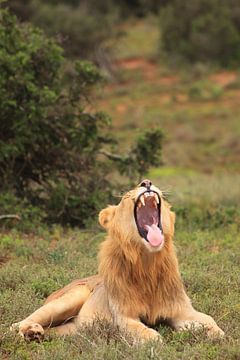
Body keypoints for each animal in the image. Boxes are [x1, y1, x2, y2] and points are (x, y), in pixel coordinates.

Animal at [11, 180, 224, 344]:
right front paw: (158, 337)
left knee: (56, 331)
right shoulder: (123, 316)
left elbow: (212, 323)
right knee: (15, 325)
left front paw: (209, 332)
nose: (146, 182)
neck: (147, 262)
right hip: (69, 298)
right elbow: (148, 334)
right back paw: (29, 331)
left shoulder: (181, 310)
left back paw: (37, 334)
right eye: (126, 196)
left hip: (74, 329)